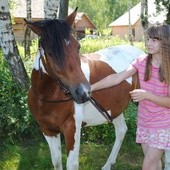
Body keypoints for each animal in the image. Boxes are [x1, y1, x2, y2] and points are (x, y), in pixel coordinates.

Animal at [25, 7, 170, 170]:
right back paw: (108, 164)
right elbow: (56, 162)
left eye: (77, 46)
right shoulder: (48, 131)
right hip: (114, 108)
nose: (84, 92)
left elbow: (71, 164)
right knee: (121, 130)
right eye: (50, 53)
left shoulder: (72, 129)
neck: (47, 97)